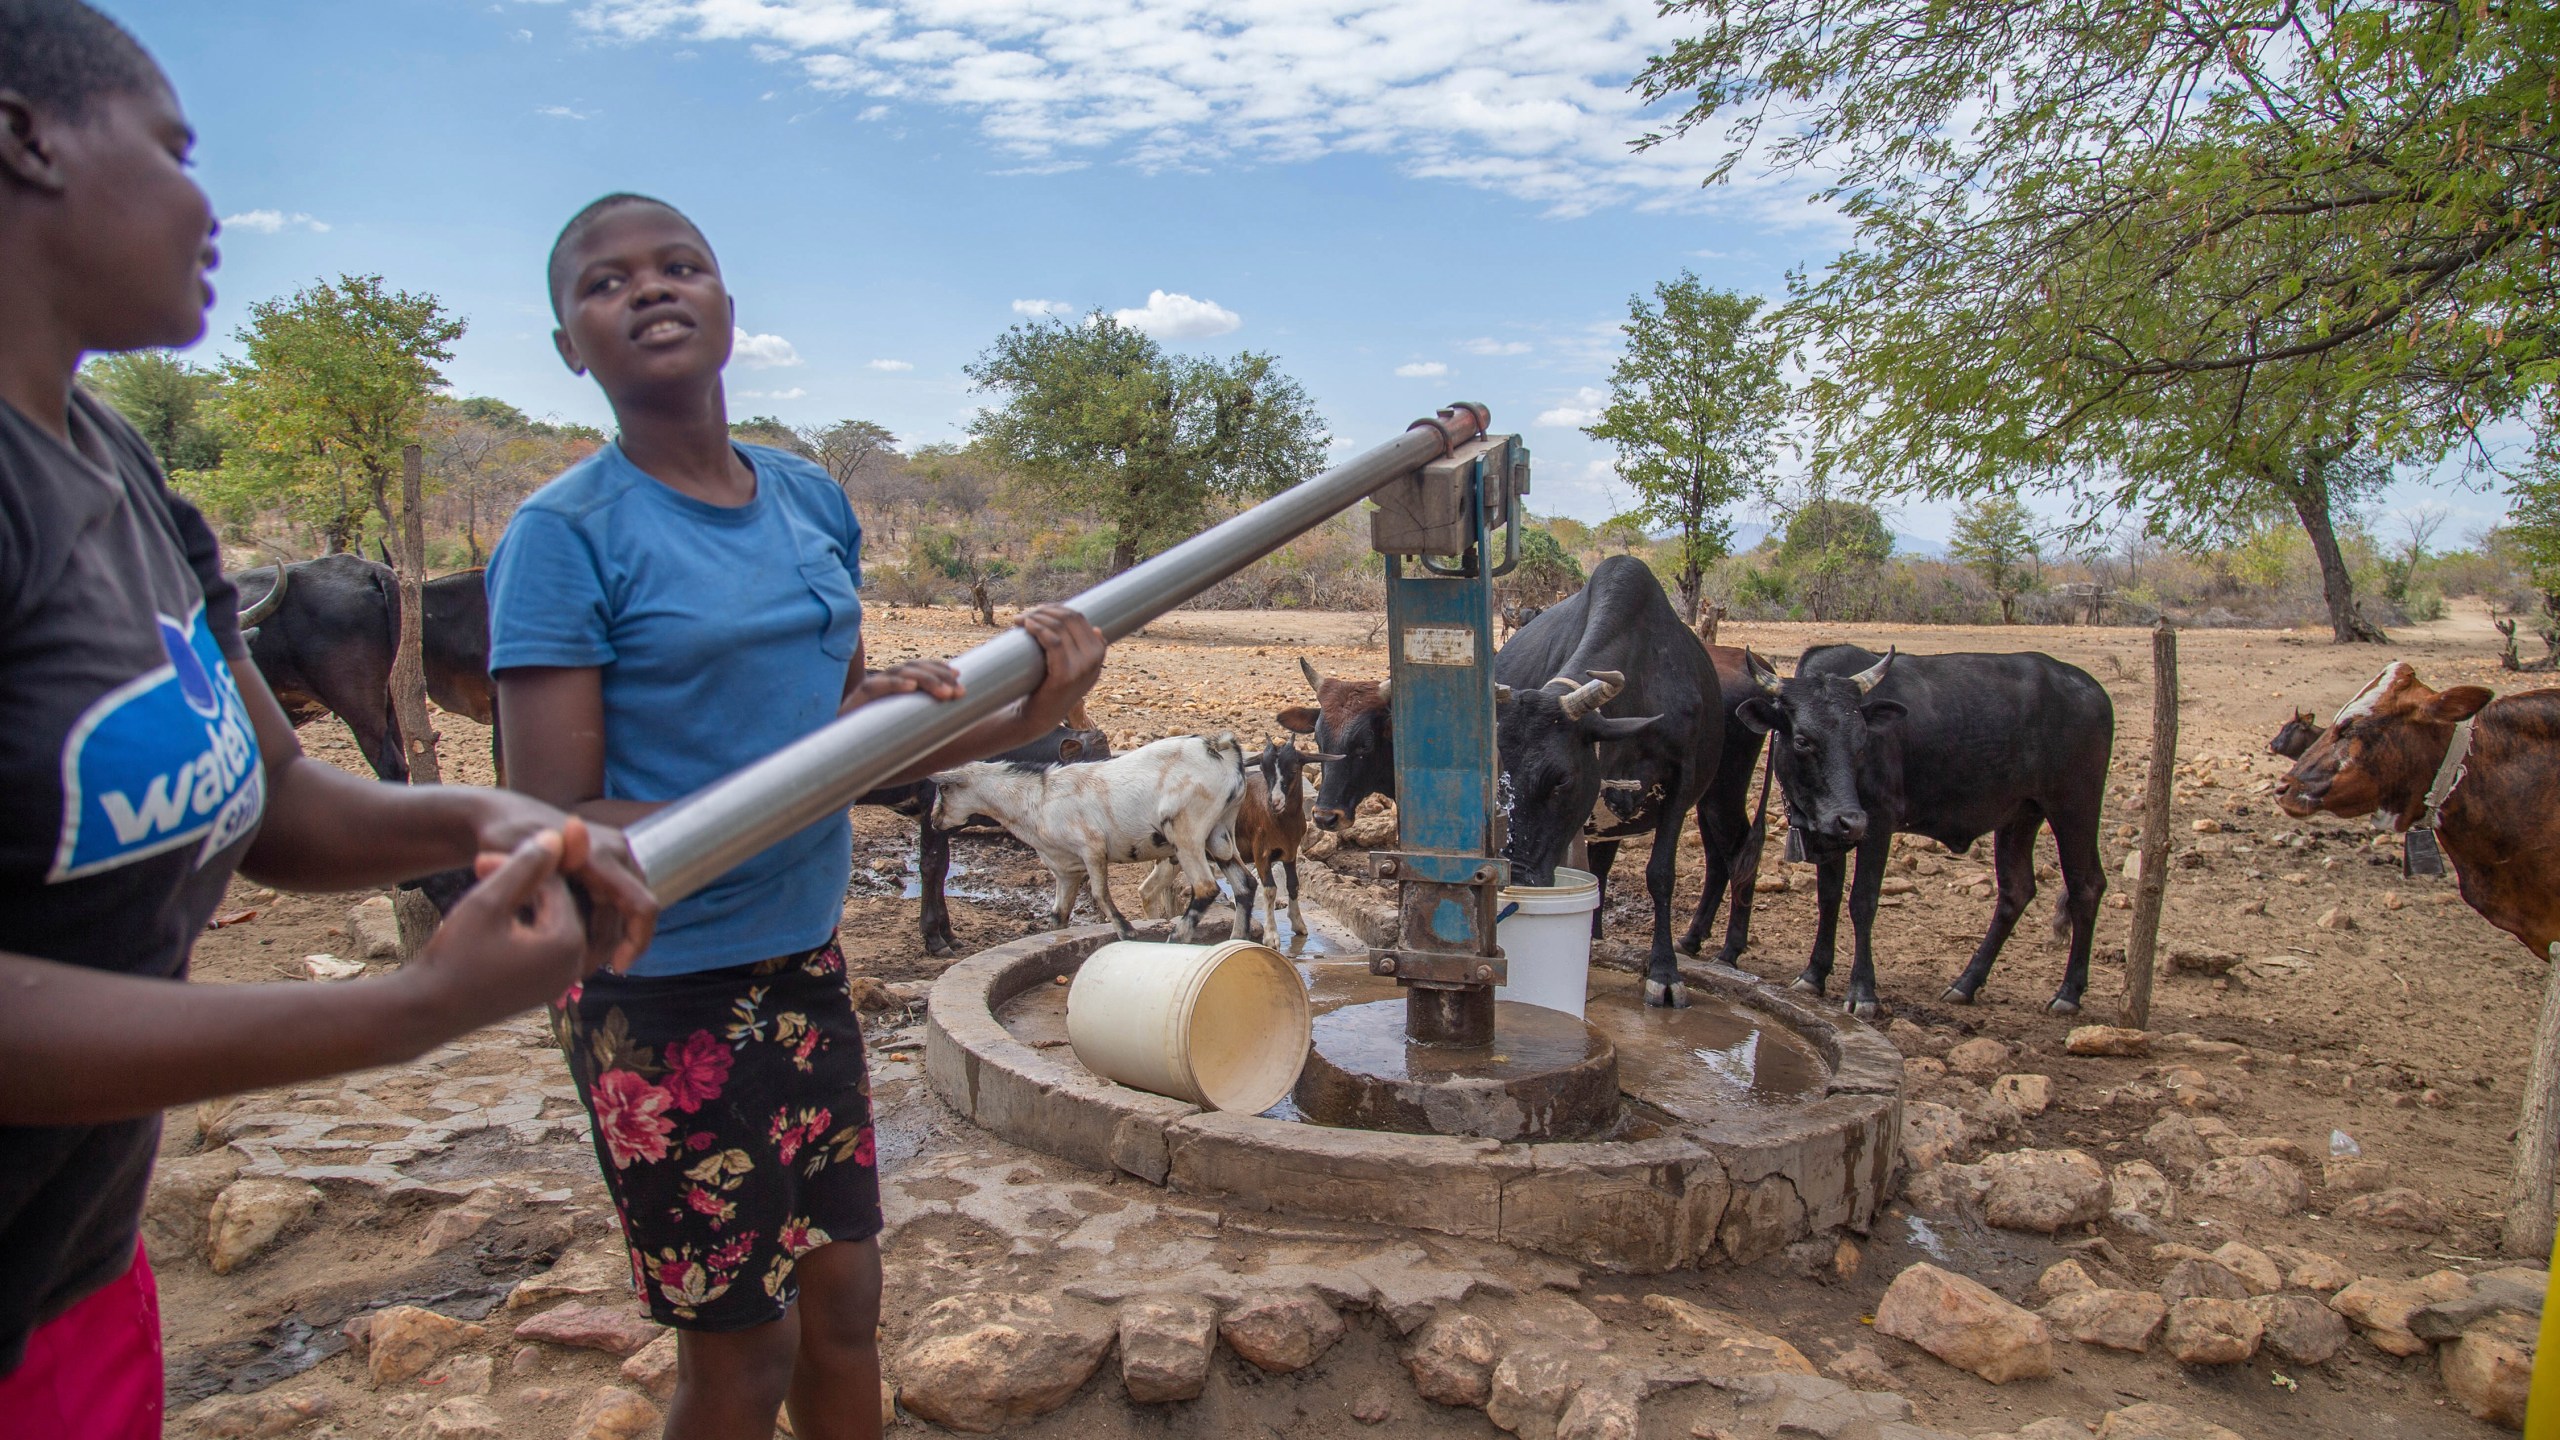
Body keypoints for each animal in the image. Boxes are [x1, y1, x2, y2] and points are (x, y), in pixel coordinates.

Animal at [1495, 556, 1730, 1004]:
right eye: (1499, 780)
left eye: (1560, 781)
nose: (1517, 878)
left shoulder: (1681, 784)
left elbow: (1661, 875)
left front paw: (1665, 971)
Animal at [1740, 645, 2119, 1014]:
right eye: (1803, 740)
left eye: (1862, 740)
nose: (1852, 819)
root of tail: (2092, 689)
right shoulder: (1828, 830)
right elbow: (1828, 898)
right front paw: (1814, 974)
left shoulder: (1878, 823)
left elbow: (1863, 901)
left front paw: (1863, 991)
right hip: (2021, 817)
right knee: (2017, 890)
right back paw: (1966, 984)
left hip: (2074, 807)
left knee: (2086, 886)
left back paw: (2068, 993)